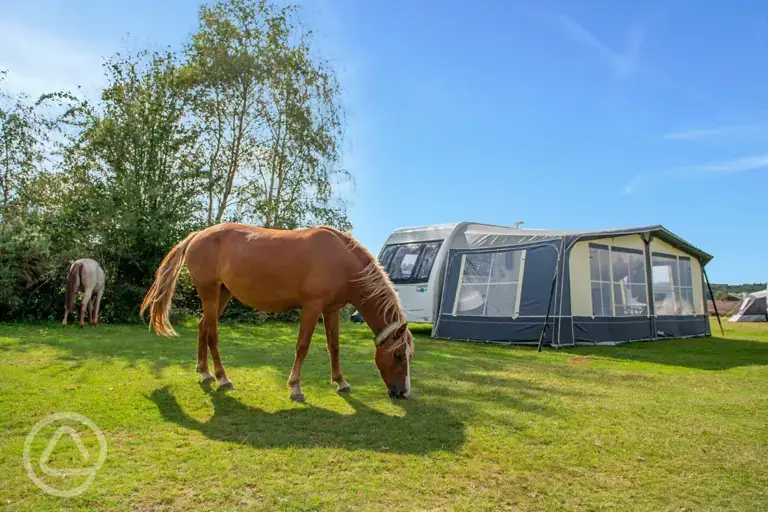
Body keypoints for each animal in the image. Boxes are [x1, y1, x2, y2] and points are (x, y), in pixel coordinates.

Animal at [138, 222, 414, 402]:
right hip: (209, 292)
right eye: (398, 355)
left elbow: (334, 347)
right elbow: (302, 346)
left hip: (222, 294)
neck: (341, 259)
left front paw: (341, 382)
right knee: (212, 335)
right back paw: (222, 378)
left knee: (203, 327)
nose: (403, 393)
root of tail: (197, 235)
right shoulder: (312, 307)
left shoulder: (332, 310)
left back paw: (204, 372)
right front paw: (295, 388)